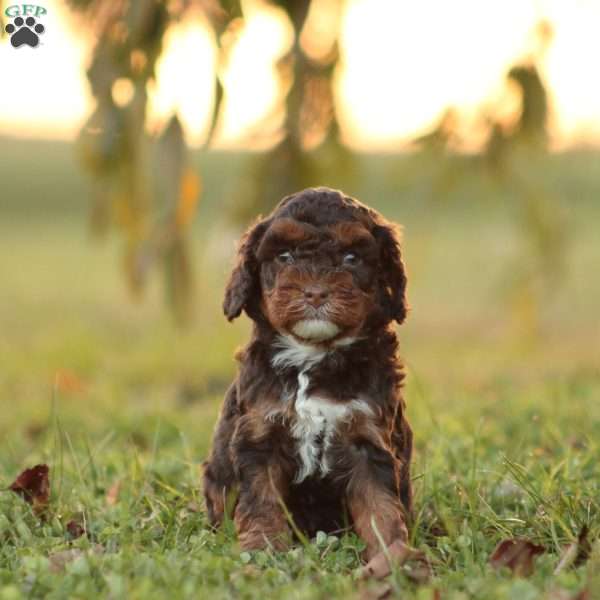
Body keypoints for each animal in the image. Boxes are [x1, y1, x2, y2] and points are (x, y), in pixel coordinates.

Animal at [203, 188, 412, 564]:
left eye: (351, 258)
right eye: (284, 256)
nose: (315, 292)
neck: (315, 358)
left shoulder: (368, 438)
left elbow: (381, 506)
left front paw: (391, 555)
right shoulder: (260, 436)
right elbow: (262, 501)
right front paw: (262, 549)